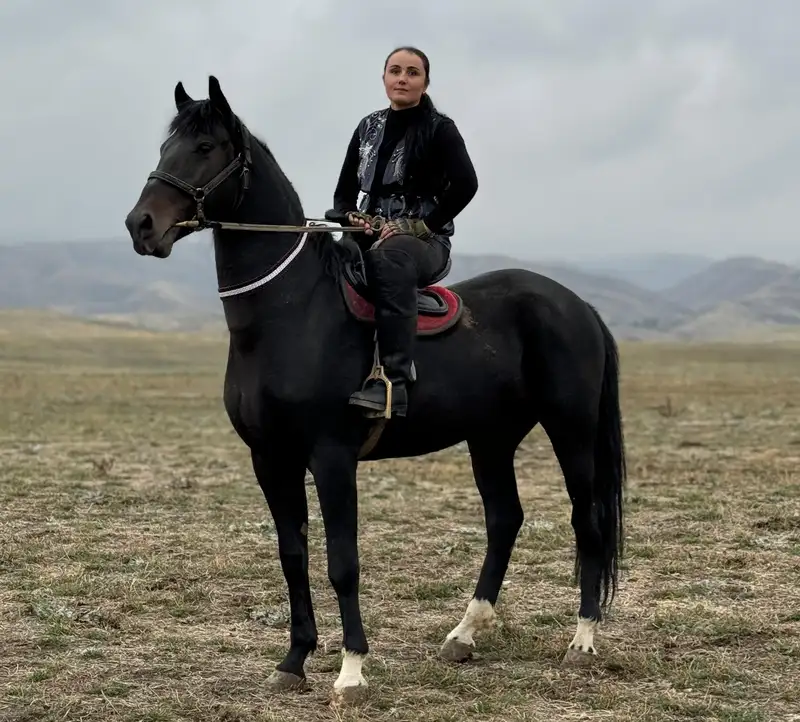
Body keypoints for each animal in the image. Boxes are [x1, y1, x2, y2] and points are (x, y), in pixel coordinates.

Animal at [123, 76, 624, 700]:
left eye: (206, 147)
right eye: (165, 147)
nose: (141, 225)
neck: (290, 312)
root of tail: (578, 305)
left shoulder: (332, 457)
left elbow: (343, 562)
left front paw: (352, 669)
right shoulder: (270, 459)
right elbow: (293, 554)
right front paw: (294, 660)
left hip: (571, 430)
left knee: (588, 520)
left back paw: (581, 641)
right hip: (491, 438)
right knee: (504, 519)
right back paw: (463, 634)